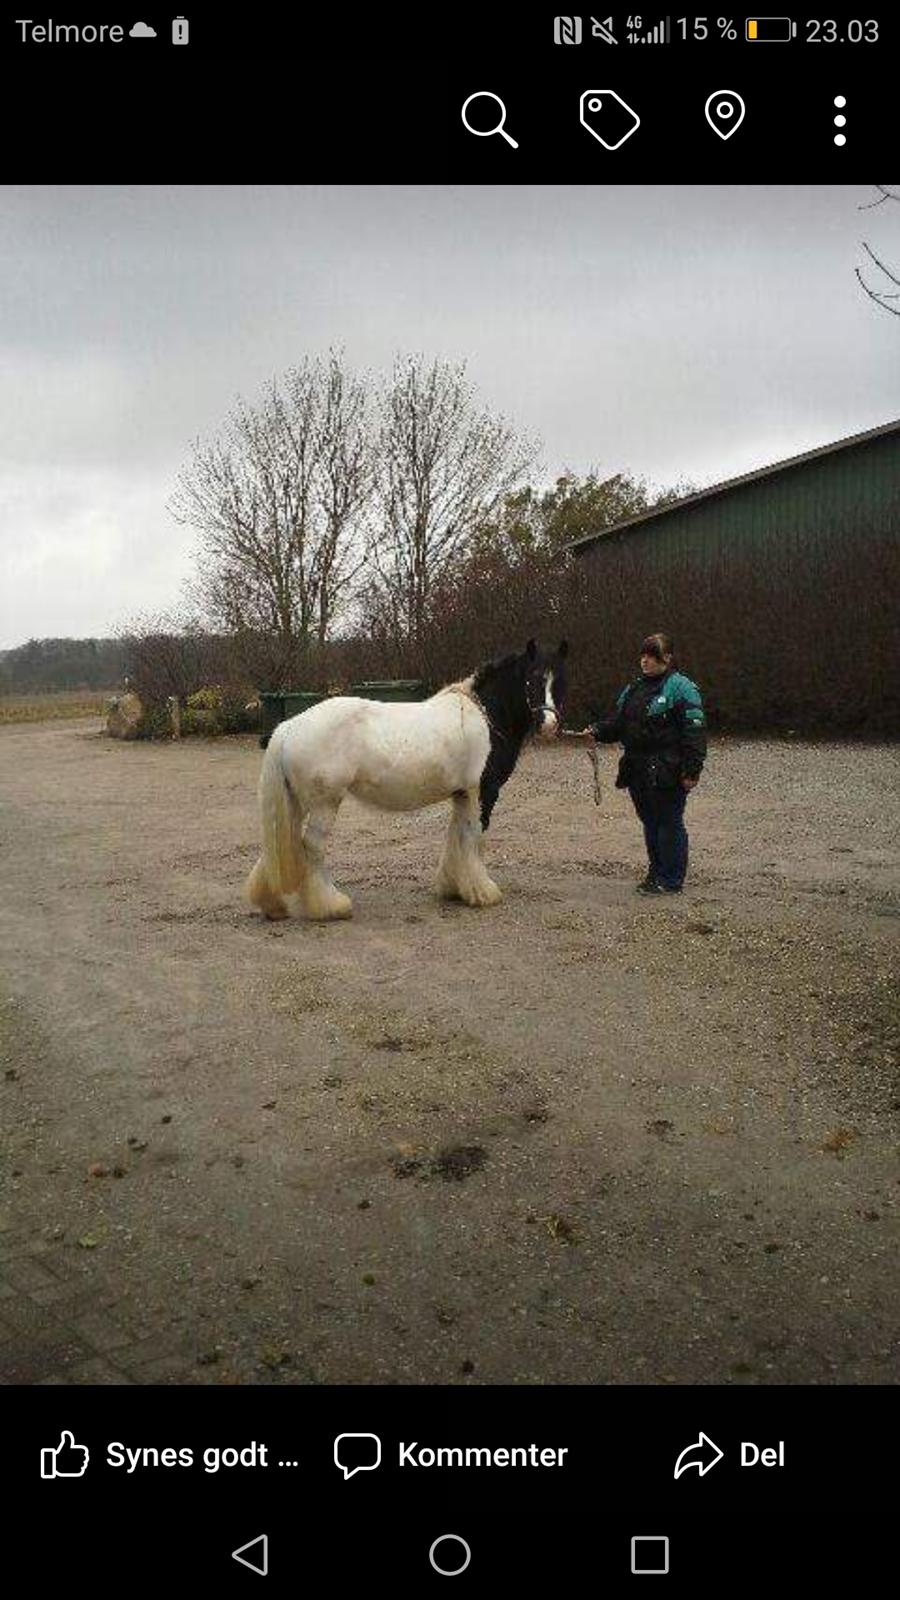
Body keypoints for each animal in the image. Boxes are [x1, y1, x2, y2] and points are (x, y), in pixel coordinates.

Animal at [243, 630, 566, 921]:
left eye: (558, 680)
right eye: (531, 679)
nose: (549, 724)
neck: (485, 716)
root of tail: (290, 726)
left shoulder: (462, 794)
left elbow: (456, 836)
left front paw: (453, 888)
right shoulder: (482, 792)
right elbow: (474, 838)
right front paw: (482, 892)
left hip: (297, 802)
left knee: (281, 845)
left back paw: (273, 905)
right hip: (325, 803)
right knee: (311, 847)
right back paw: (331, 906)